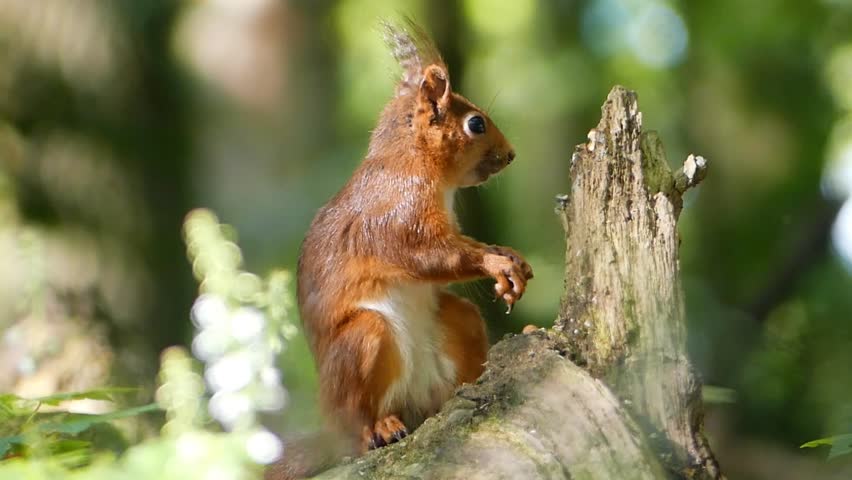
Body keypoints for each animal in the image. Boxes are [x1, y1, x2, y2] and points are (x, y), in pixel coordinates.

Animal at [267, 19, 533, 480]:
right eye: (476, 125)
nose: (511, 155)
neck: (413, 160)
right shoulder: (400, 216)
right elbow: (434, 256)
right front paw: (496, 262)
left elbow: (461, 245)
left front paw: (508, 254)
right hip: (364, 341)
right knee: (359, 419)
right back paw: (377, 429)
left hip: (457, 322)